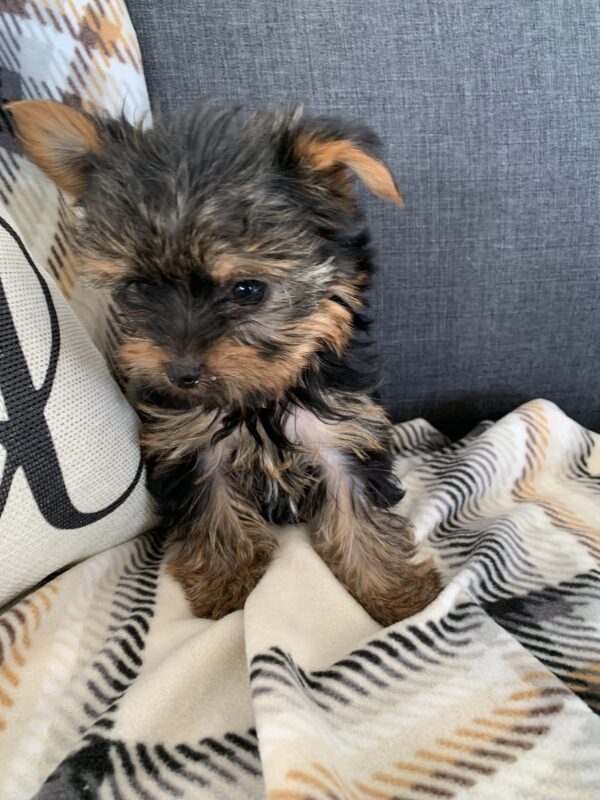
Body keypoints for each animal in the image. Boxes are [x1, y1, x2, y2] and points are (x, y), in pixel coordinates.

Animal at [9, 100, 440, 624]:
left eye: (247, 289)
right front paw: (226, 582)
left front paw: (396, 596)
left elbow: (360, 517)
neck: (260, 398)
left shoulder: (341, 439)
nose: (180, 373)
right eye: (139, 288)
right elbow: (214, 511)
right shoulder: (191, 445)